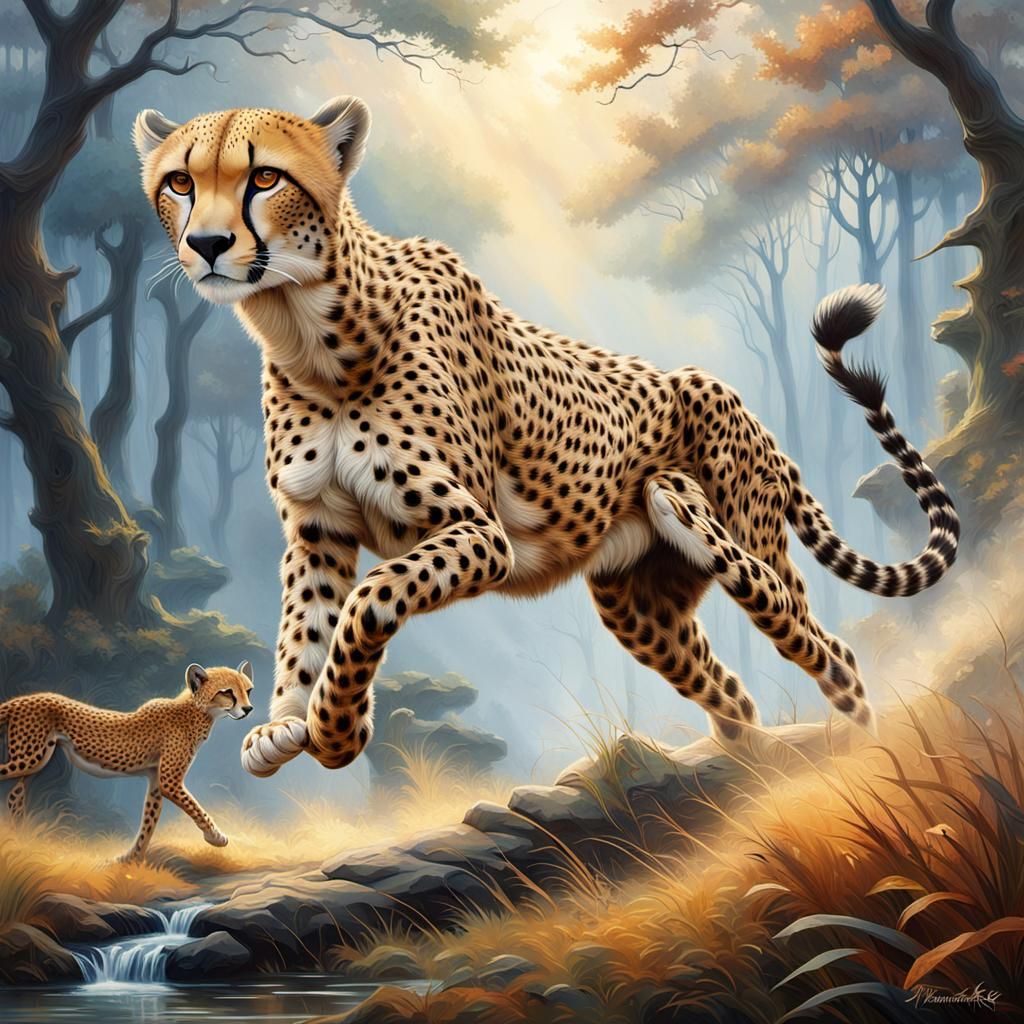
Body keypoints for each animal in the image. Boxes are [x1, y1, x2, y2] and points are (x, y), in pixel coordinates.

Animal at [0, 662, 254, 861]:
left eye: (248, 690)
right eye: (227, 692)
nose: (248, 708)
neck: (196, 712)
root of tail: (26, 698)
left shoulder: (156, 781)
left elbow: (148, 823)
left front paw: (131, 860)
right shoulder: (169, 782)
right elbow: (196, 808)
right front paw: (216, 838)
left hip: (37, 761)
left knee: (14, 795)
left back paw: (20, 838)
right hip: (30, 758)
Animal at [133, 97, 959, 778]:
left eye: (264, 178)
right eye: (179, 183)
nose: (209, 244)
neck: (308, 330)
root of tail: (760, 424)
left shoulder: (478, 533)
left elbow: (369, 599)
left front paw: (337, 731)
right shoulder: (319, 528)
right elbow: (303, 625)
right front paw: (280, 723)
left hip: (742, 546)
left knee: (832, 652)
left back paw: (864, 755)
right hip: (638, 608)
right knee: (733, 690)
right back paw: (745, 768)